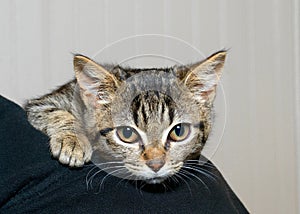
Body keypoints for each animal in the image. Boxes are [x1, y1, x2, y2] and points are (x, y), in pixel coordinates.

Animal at [25, 50, 225, 184]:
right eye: (127, 133)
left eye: (179, 131)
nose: (156, 164)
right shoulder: (42, 104)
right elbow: (54, 112)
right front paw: (73, 140)